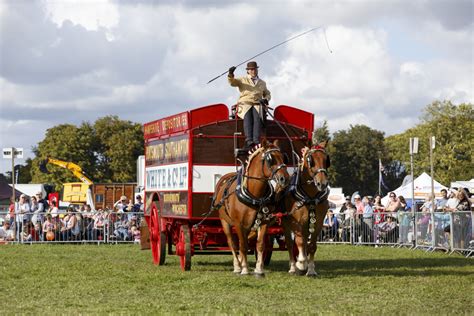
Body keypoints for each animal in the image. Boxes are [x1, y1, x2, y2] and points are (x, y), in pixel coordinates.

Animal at [211, 141, 288, 276]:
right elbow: (242, 246)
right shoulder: (239, 224)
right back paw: (237, 266)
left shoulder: (264, 223)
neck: (255, 195)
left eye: (283, 157)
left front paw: (259, 269)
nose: (285, 178)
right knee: (232, 242)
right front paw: (245, 269)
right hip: (225, 222)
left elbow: (260, 245)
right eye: (270, 159)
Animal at [282, 141, 330, 276]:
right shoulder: (297, 223)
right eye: (311, 160)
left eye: (326, 160)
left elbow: (311, 246)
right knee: (289, 243)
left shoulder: (318, 223)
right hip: (286, 224)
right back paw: (293, 267)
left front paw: (311, 269)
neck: (311, 198)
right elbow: (299, 242)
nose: (322, 183)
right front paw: (301, 263)